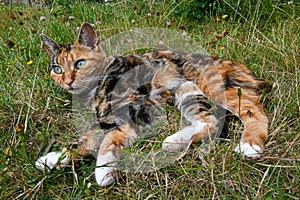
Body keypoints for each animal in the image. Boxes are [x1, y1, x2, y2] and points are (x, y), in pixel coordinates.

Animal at [35, 22, 272, 187]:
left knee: (253, 109)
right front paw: (52, 160)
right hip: (186, 89)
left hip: (211, 86)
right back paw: (173, 142)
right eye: (57, 69)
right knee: (210, 121)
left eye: (80, 63)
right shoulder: (133, 112)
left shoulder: (134, 105)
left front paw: (103, 170)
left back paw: (250, 144)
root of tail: (231, 63)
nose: (68, 81)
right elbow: (92, 137)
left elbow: (102, 136)